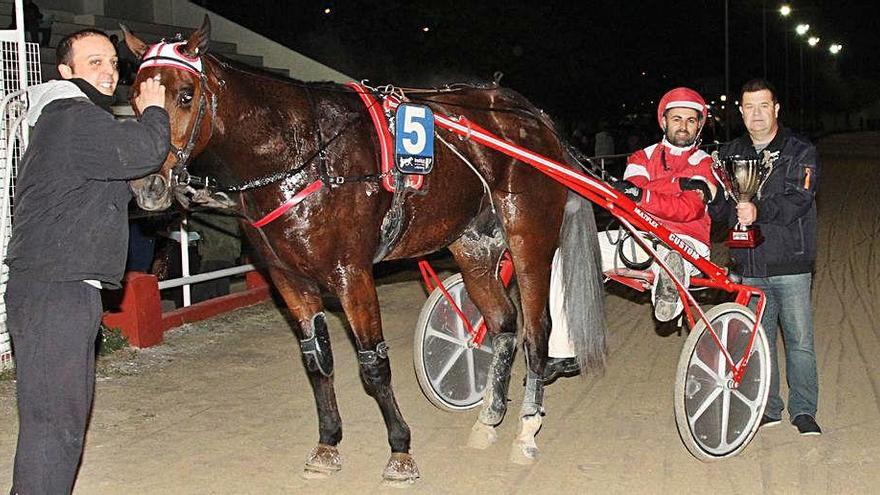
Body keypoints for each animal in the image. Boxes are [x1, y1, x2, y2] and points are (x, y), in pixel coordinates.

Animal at [122, 18, 604, 484]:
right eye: (134, 95)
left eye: (186, 96)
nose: (148, 186)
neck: (301, 152)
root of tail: (532, 117)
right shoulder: (288, 278)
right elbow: (317, 360)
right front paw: (327, 443)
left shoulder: (350, 272)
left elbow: (373, 364)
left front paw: (400, 450)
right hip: (473, 245)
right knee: (503, 322)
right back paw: (488, 417)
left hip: (528, 236)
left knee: (536, 330)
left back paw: (526, 427)